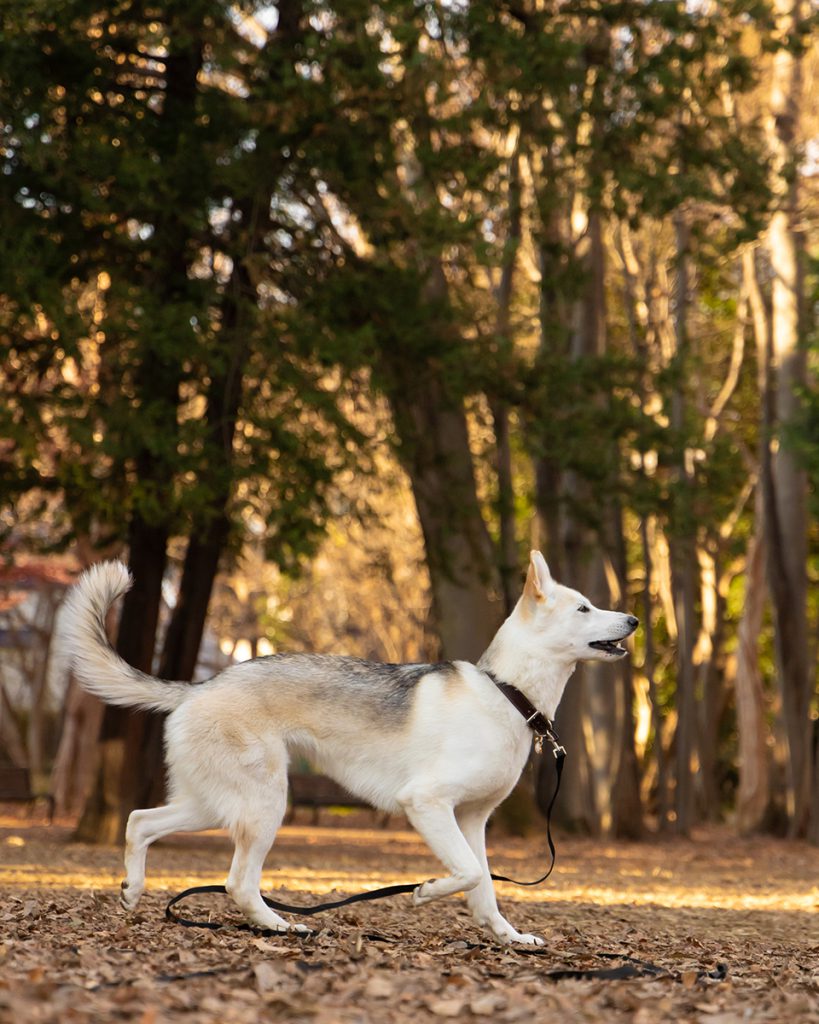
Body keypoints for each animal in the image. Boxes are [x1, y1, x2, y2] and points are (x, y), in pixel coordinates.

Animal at [65, 552, 638, 942]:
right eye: (584, 607)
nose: (633, 619)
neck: (507, 692)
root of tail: (200, 687)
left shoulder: (473, 822)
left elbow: (486, 891)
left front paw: (508, 938)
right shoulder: (427, 804)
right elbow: (469, 873)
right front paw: (426, 891)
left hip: (214, 804)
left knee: (139, 821)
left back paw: (133, 890)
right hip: (264, 805)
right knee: (238, 883)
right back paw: (280, 927)